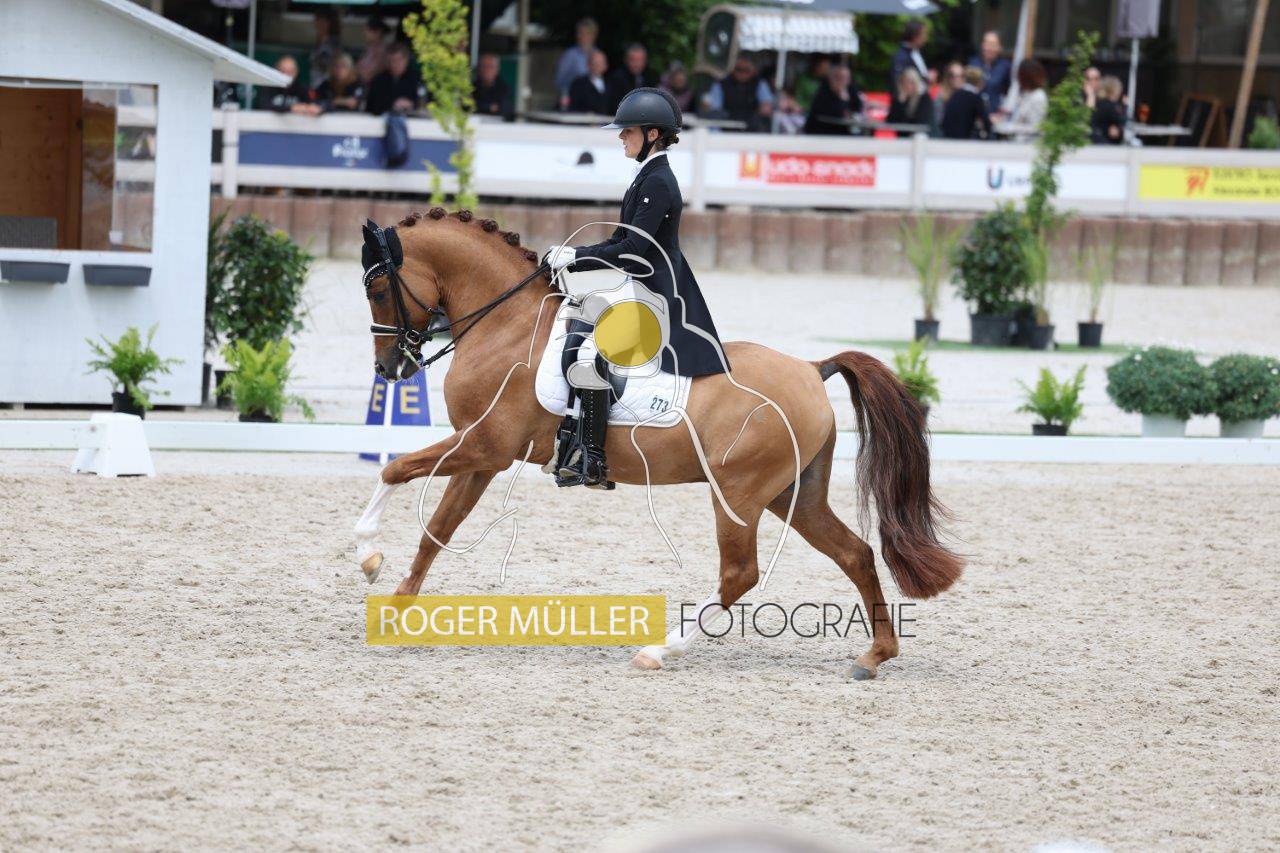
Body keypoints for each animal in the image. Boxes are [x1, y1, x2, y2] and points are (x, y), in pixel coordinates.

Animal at [352, 207, 962, 679]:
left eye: (379, 290)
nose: (389, 369)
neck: (506, 326)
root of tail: (812, 369)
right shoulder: (482, 456)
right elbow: (437, 529)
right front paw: (396, 607)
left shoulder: (484, 445)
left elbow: (394, 470)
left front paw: (368, 556)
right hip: (794, 492)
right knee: (854, 553)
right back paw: (874, 656)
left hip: (739, 493)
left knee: (740, 573)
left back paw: (659, 650)